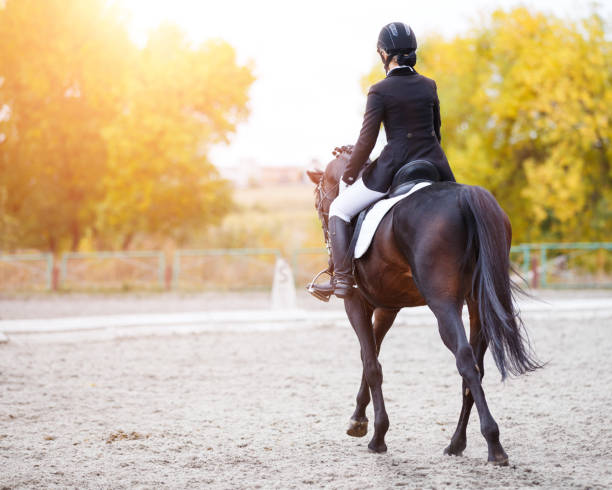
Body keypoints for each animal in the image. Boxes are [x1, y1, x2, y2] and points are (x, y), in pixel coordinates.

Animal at [306, 145, 540, 464]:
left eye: (318, 197)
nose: (326, 237)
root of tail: (465, 196)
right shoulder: (387, 307)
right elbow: (372, 354)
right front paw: (358, 421)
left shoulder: (354, 302)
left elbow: (371, 363)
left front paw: (377, 436)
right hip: (477, 306)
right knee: (475, 369)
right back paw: (456, 443)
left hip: (443, 304)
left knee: (465, 360)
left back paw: (494, 445)